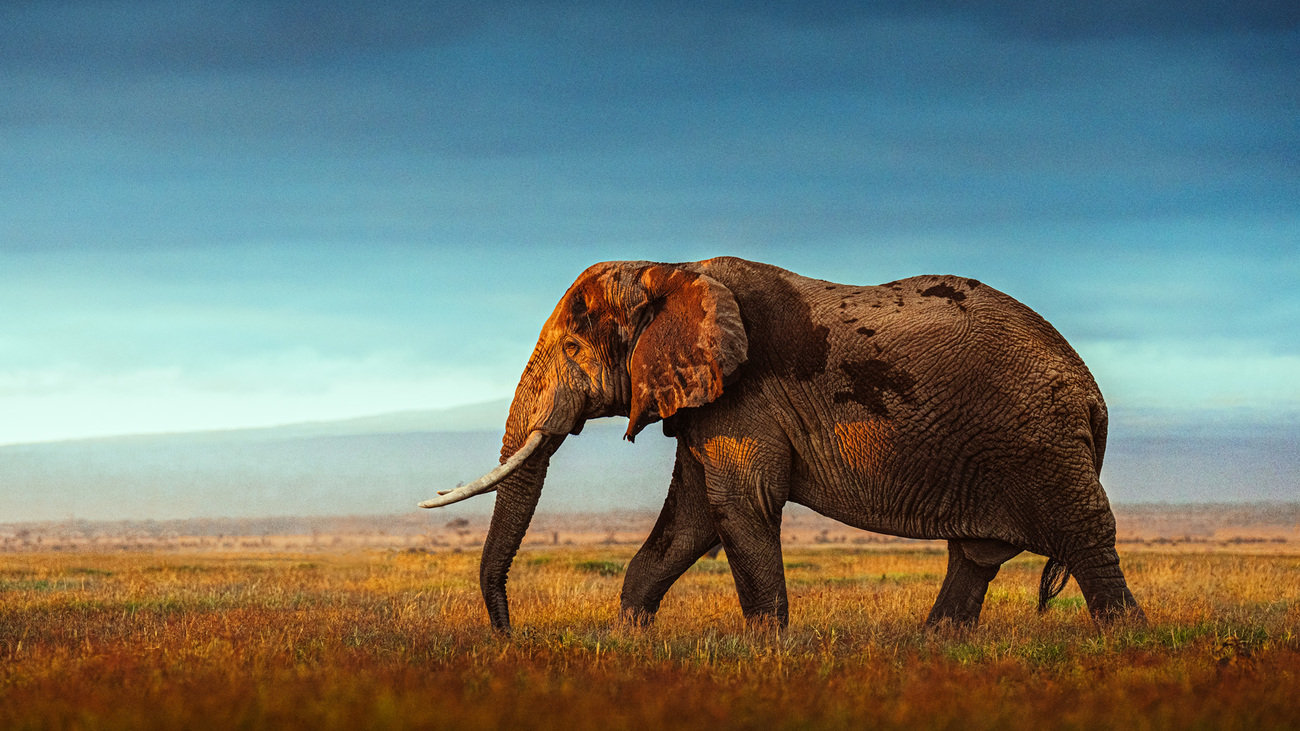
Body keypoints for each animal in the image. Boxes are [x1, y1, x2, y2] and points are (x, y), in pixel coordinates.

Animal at [421, 254, 1144, 626]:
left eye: (573, 348)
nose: (507, 634)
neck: (670, 269)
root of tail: (1092, 393)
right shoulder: (710, 401)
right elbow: (688, 521)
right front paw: (631, 641)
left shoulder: (747, 397)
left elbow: (737, 507)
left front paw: (766, 653)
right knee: (976, 556)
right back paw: (935, 648)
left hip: (1042, 442)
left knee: (1085, 539)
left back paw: (1122, 647)